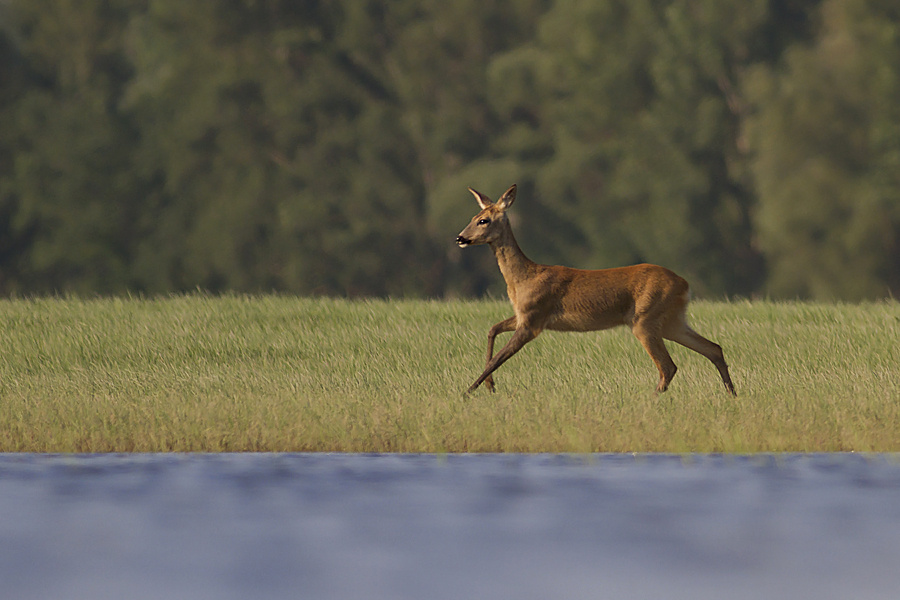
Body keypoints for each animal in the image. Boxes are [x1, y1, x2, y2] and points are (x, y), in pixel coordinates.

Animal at [454, 185, 736, 396]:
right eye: (472, 218)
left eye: (483, 220)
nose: (460, 238)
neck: (523, 279)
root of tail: (685, 284)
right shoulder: (524, 315)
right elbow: (492, 329)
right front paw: (489, 386)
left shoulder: (533, 320)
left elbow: (498, 358)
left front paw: (468, 391)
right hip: (671, 320)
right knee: (713, 348)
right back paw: (732, 394)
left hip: (644, 319)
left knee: (668, 366)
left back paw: (651, 400)